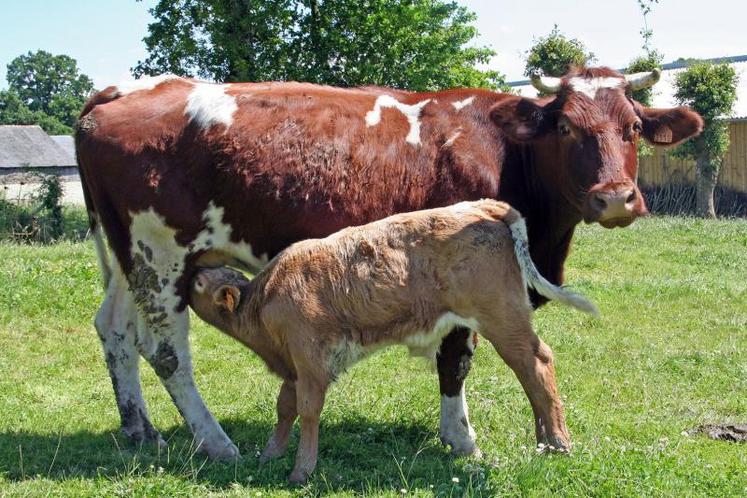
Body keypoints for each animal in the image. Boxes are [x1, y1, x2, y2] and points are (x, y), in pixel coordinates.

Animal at [188, 199, 598, 483]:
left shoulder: (311, 359)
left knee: (537, 364)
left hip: (503, 319)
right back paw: (544, 439)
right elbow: (285, 407)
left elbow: (308, 409)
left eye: (200, 283)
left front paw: (301, 471)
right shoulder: (294, 364)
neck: (267, 298)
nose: (190, 271)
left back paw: (557, 442)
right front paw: (269, 456)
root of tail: (483, 205)